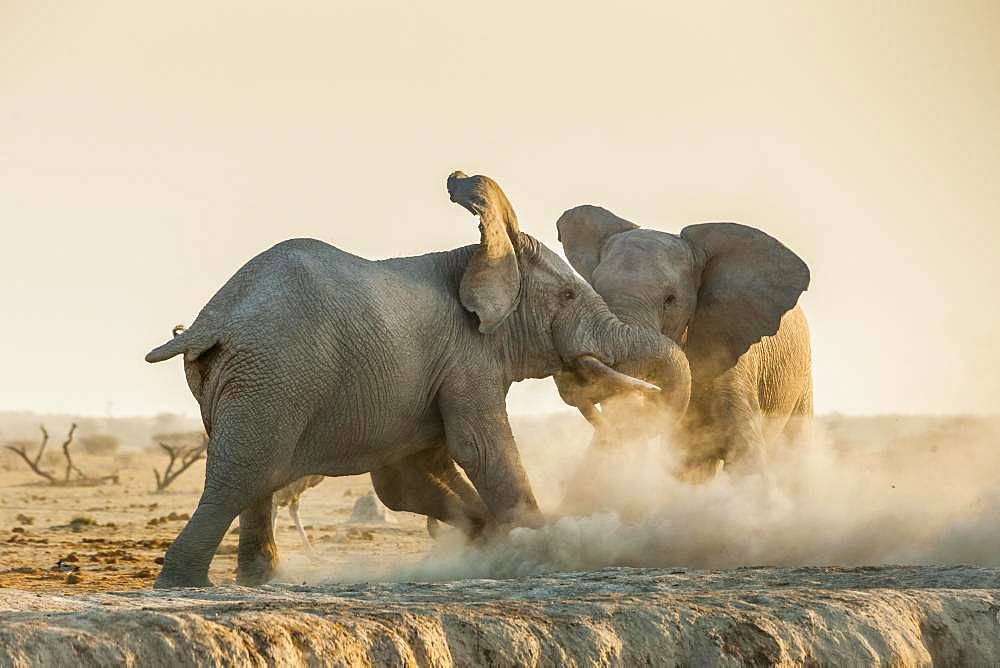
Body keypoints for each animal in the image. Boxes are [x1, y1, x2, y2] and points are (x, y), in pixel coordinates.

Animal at [145, 170, 692, 588]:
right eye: (569, 297)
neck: (478, 253)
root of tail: (214, 320)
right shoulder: (467, 357)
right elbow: (480, 447)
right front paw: (535, 544)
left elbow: (407, 477)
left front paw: (484, 538)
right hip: (275, 374)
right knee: (244, 473)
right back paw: (185, 583)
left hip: (244, 377)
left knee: (255, 477)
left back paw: (264, 580)